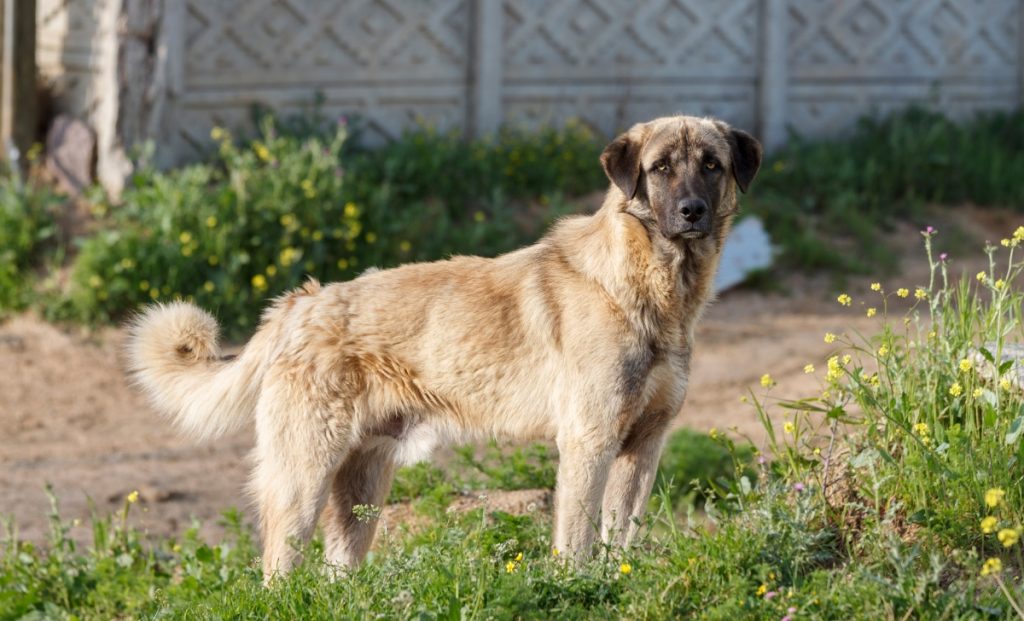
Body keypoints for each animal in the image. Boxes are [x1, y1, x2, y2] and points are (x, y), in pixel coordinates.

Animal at [125, 115, 761, 582]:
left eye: (711, 165)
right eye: (660, 168)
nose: (692, 212)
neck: (646, 287)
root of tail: (299, 304)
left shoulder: (644, 446)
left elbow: (622, 534)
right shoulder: (590, 441)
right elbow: (578, 538)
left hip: (362, 488)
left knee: (337, 571)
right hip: (302, 475)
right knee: (277, 568)